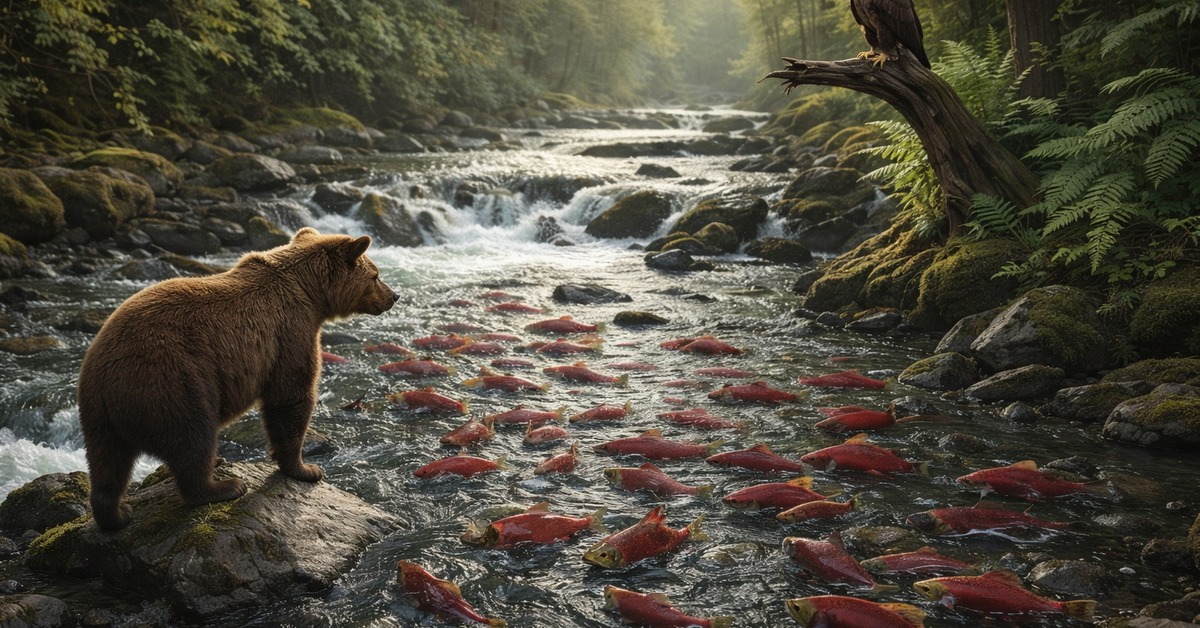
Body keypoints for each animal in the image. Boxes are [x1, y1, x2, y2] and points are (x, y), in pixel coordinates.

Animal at [77, 227, 398, 531]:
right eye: (376, 275)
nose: (394, 295)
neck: (309, 292)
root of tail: (104, 377)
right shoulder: (289, 330)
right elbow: (291, 395)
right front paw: (306, 469)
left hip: (98, 412)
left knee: (108, 461)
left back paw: (117, 513)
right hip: (171, 380)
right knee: (193, 436)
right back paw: (223, 486)